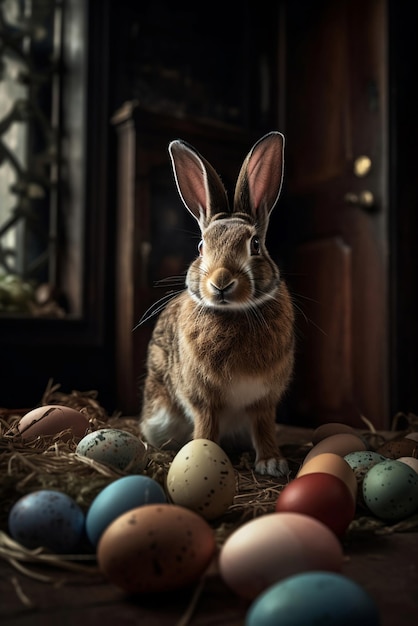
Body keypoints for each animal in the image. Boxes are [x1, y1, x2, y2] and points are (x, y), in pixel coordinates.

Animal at [140, 129, 294, 476]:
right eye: (200, 247)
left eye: (255, 245)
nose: (221, 282)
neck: (234, 313)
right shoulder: (203, 399)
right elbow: (206, 427)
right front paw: (201, 458)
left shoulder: (265, 399)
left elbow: (263, 426)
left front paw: (272, 462)